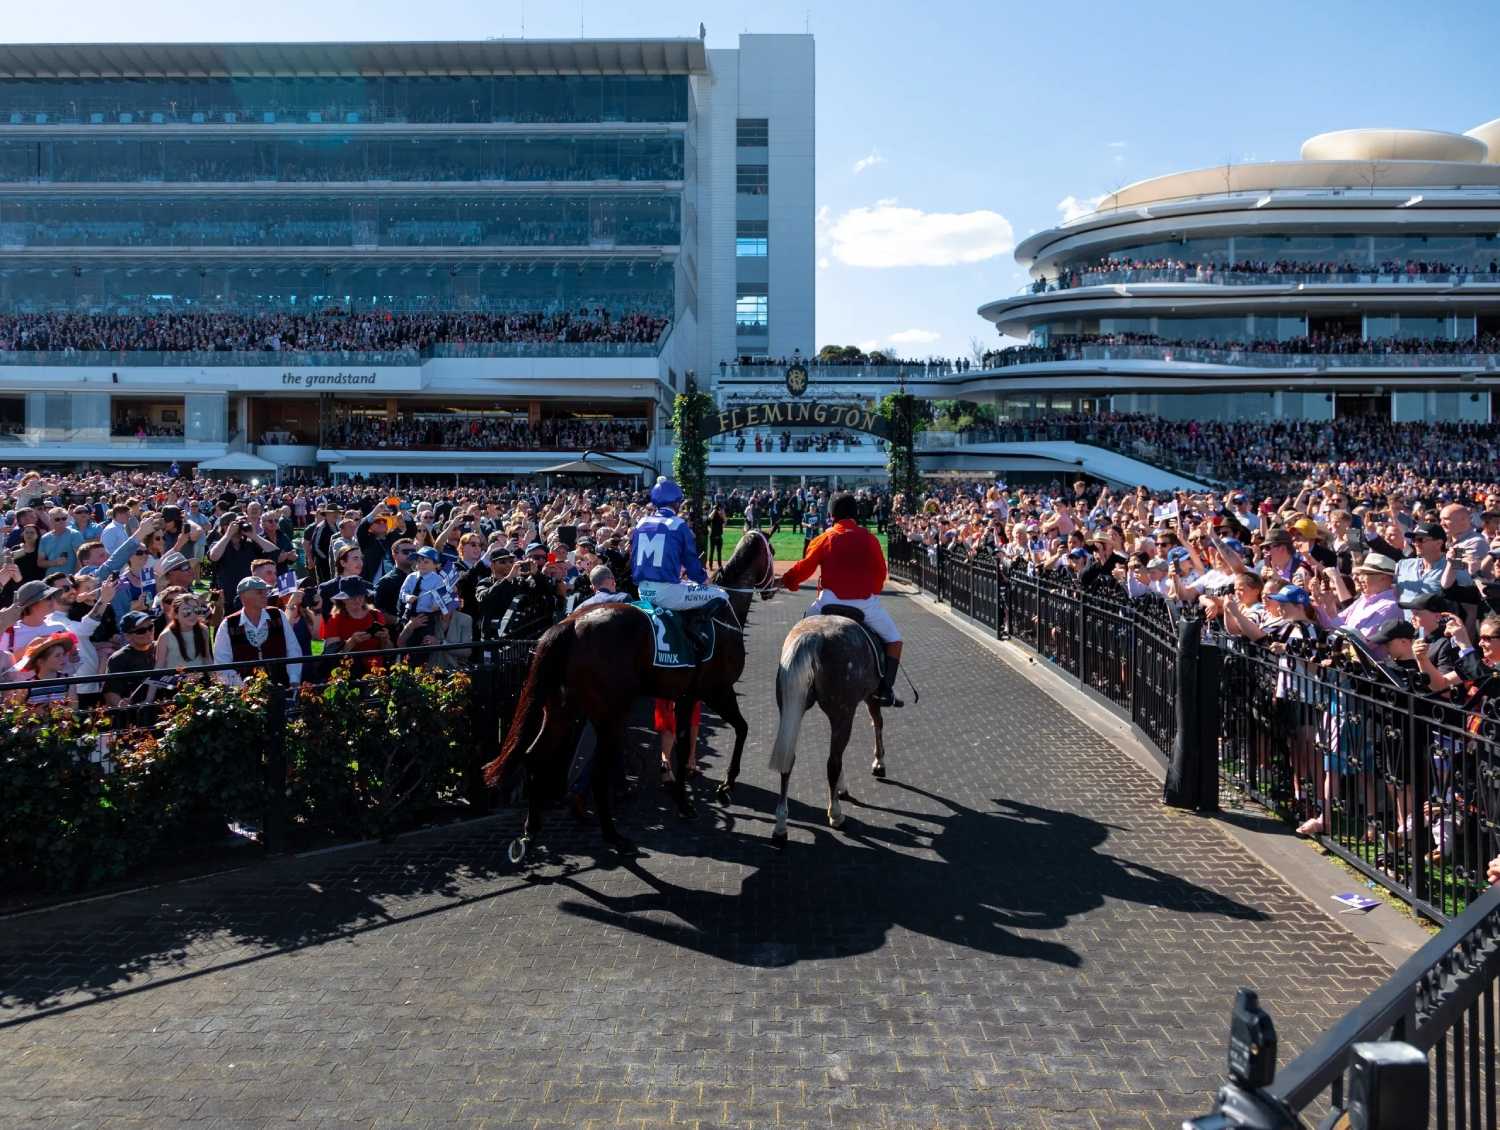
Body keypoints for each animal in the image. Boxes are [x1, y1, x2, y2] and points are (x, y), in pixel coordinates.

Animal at [486, 528, 780, 852]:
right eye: (772, 552)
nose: (773, 587)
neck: (723, 616)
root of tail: (570, 625)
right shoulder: (717, 689)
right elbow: (740, 729)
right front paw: (724, 786)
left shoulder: (686, 696)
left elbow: (681, 742)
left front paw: (683, 799)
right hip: (610, 714)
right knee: (598, 772)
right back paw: (614, 836)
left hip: (562, 707)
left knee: (535, 755)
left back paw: (530, 831)